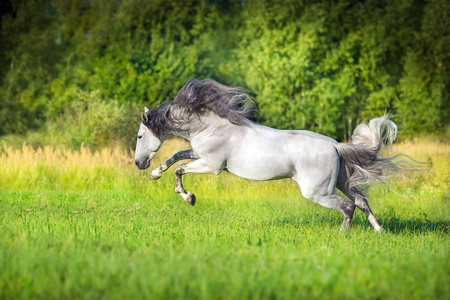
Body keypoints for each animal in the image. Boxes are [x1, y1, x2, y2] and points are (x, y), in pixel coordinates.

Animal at [134, 78, 412, 231]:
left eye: (139, 136)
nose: (139, 164)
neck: (209, 125)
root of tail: (335, 145)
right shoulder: (199, 153)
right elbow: (176, 157)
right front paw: (156, 175)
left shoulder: (212, 165)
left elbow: (179, 169)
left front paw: (189, 198)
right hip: (343, 182)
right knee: (362, 202)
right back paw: (380, 231)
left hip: (318, 192)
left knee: (348, 207)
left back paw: (341, 235)